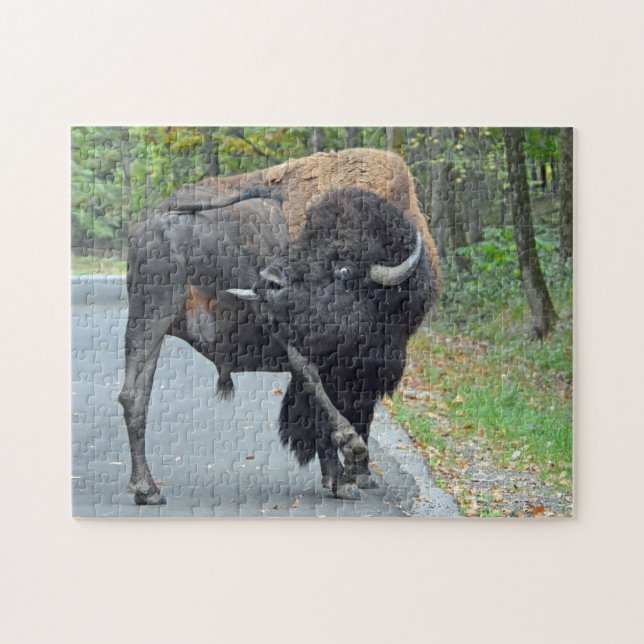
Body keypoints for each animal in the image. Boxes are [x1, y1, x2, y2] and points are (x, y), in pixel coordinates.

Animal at [118, 149, 440, 505]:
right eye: (303, 242)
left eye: (343, 268)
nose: (268, 281)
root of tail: (155, 218)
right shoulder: (341, 365)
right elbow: (326, 410)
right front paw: (345, 479)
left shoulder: (367, 369)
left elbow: (358, 411)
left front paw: (354, 477)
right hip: (159, 317)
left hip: (150, 324)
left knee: (134, 396)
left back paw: (145, 489)